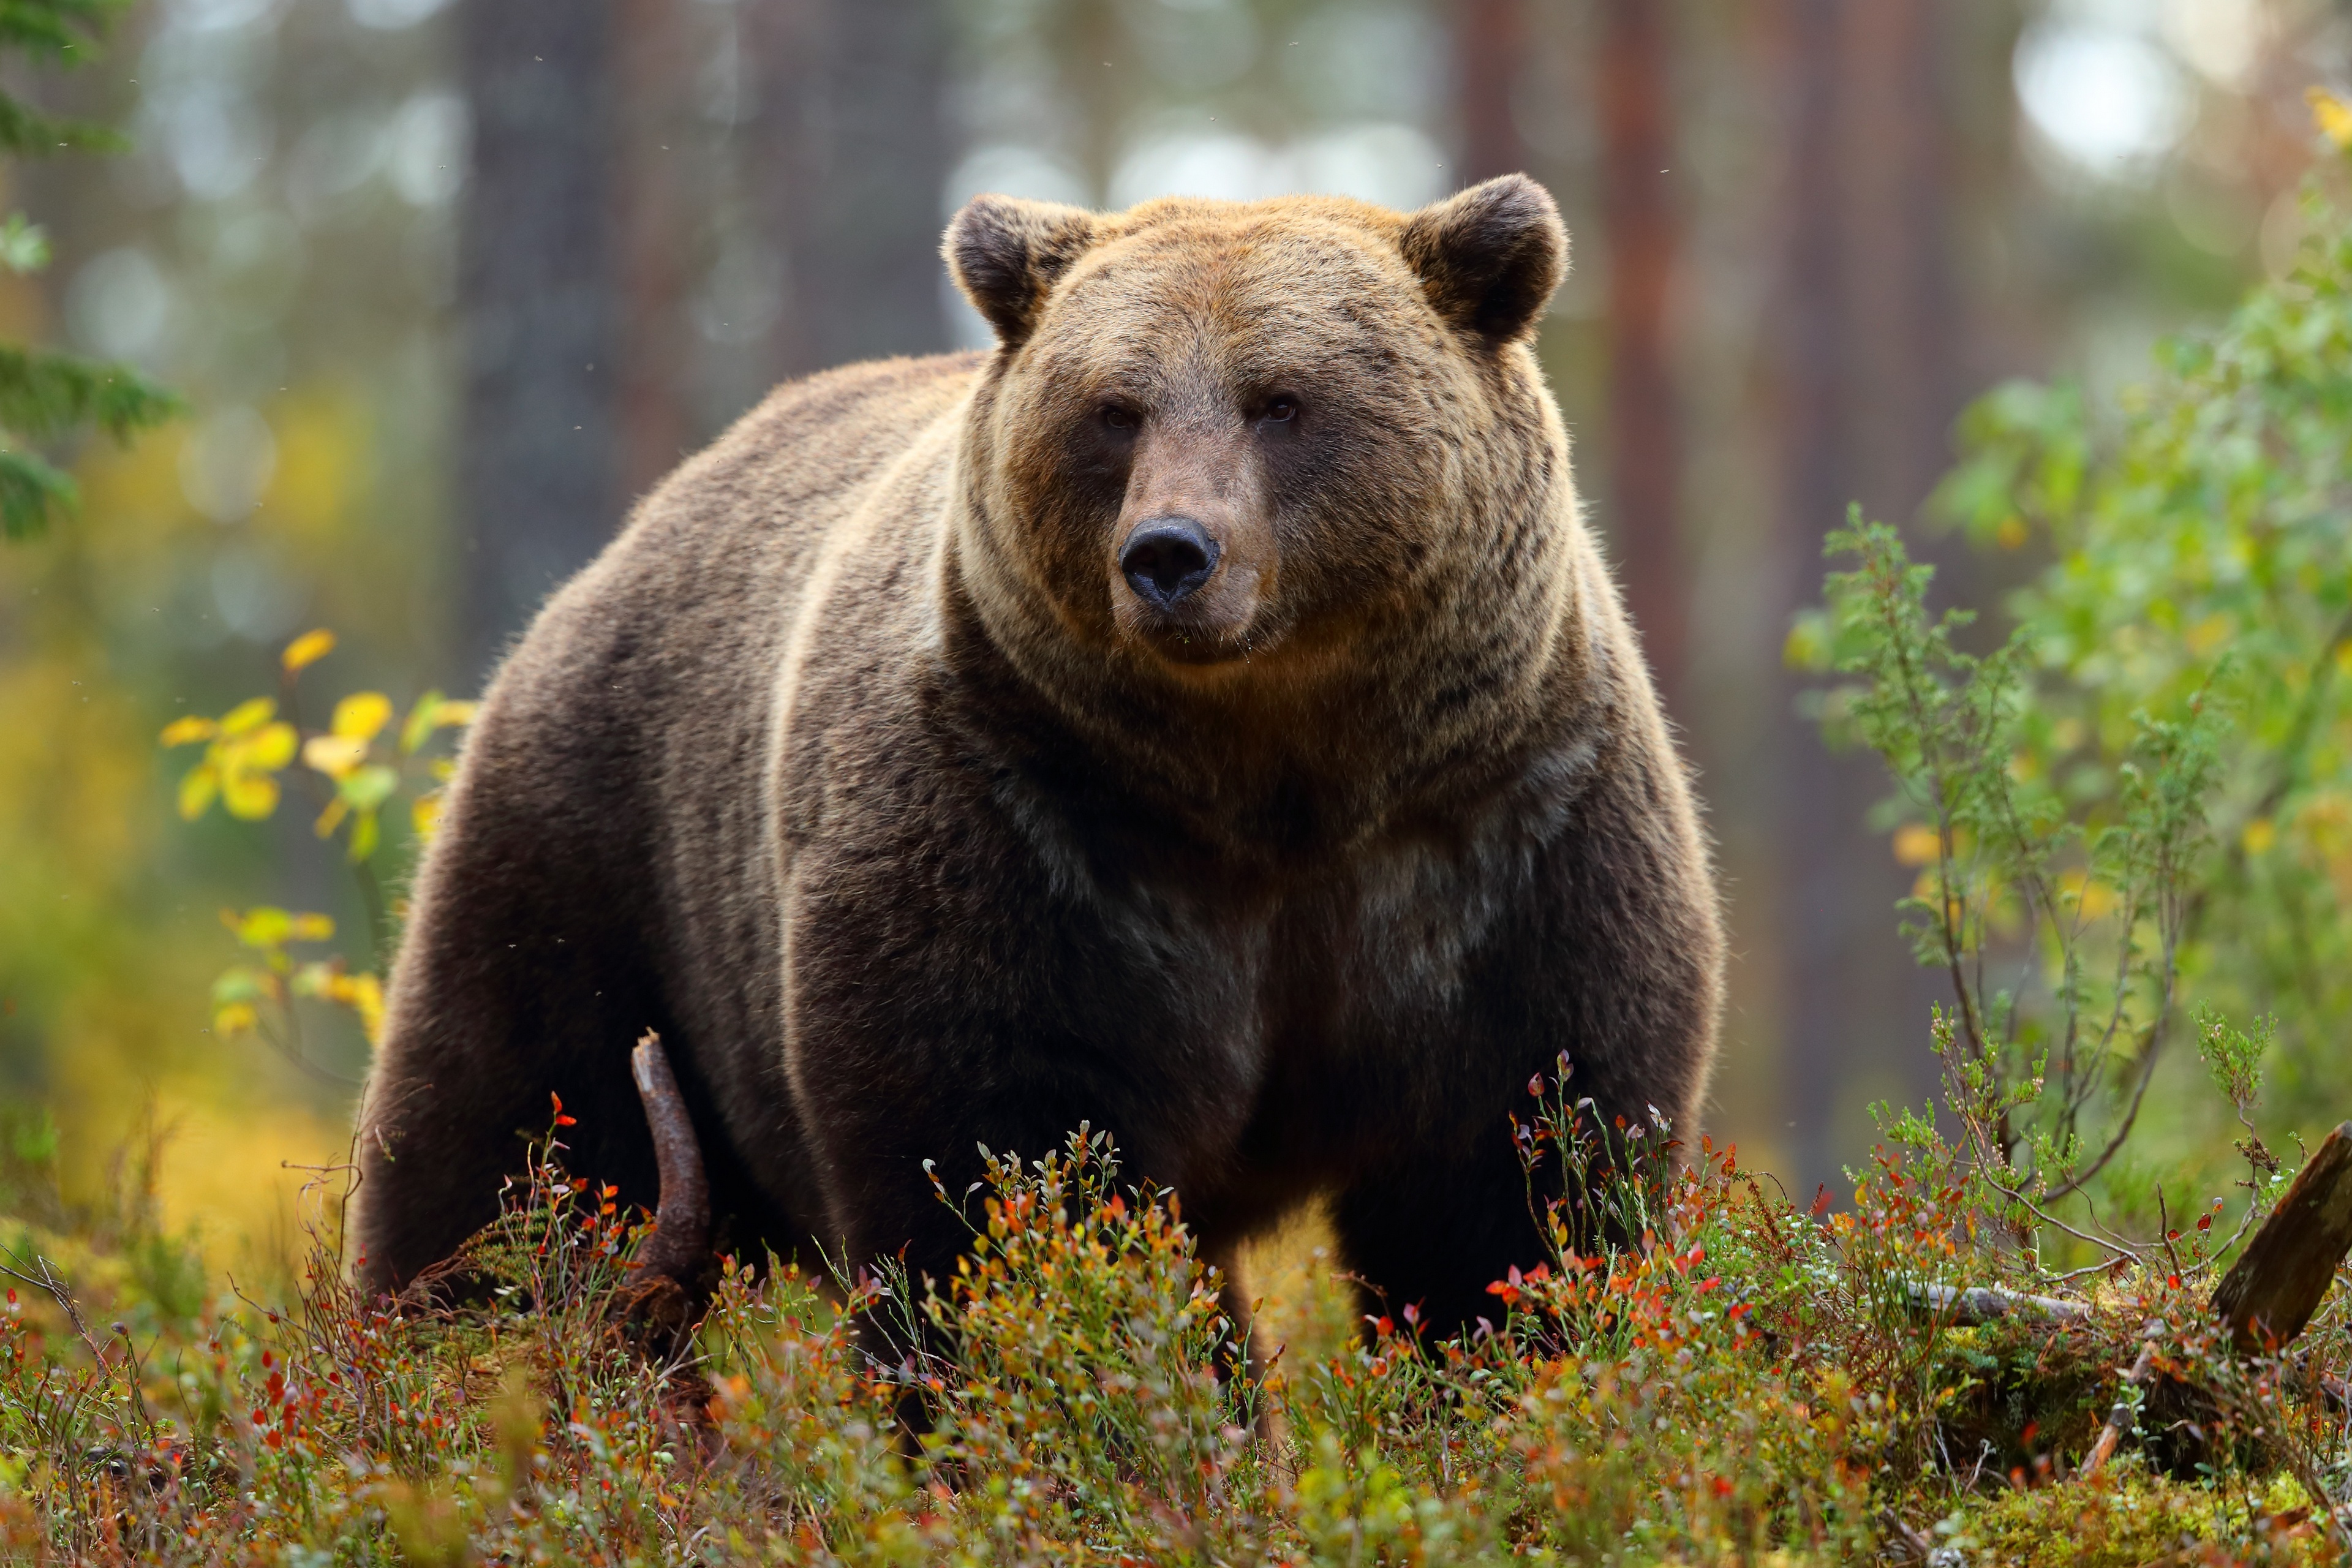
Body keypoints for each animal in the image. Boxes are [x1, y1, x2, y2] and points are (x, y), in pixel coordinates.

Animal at [362, 175, 1731, 1335]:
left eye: (1283, 400)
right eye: (1115, 409)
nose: (1171, 553)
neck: (1281, 778)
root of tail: (627, 541)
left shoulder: (1503, 832)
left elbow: (1517, 1187)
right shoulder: (1027, 825)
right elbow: (1006, 1171)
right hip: (600, 857)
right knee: (502, 1139)